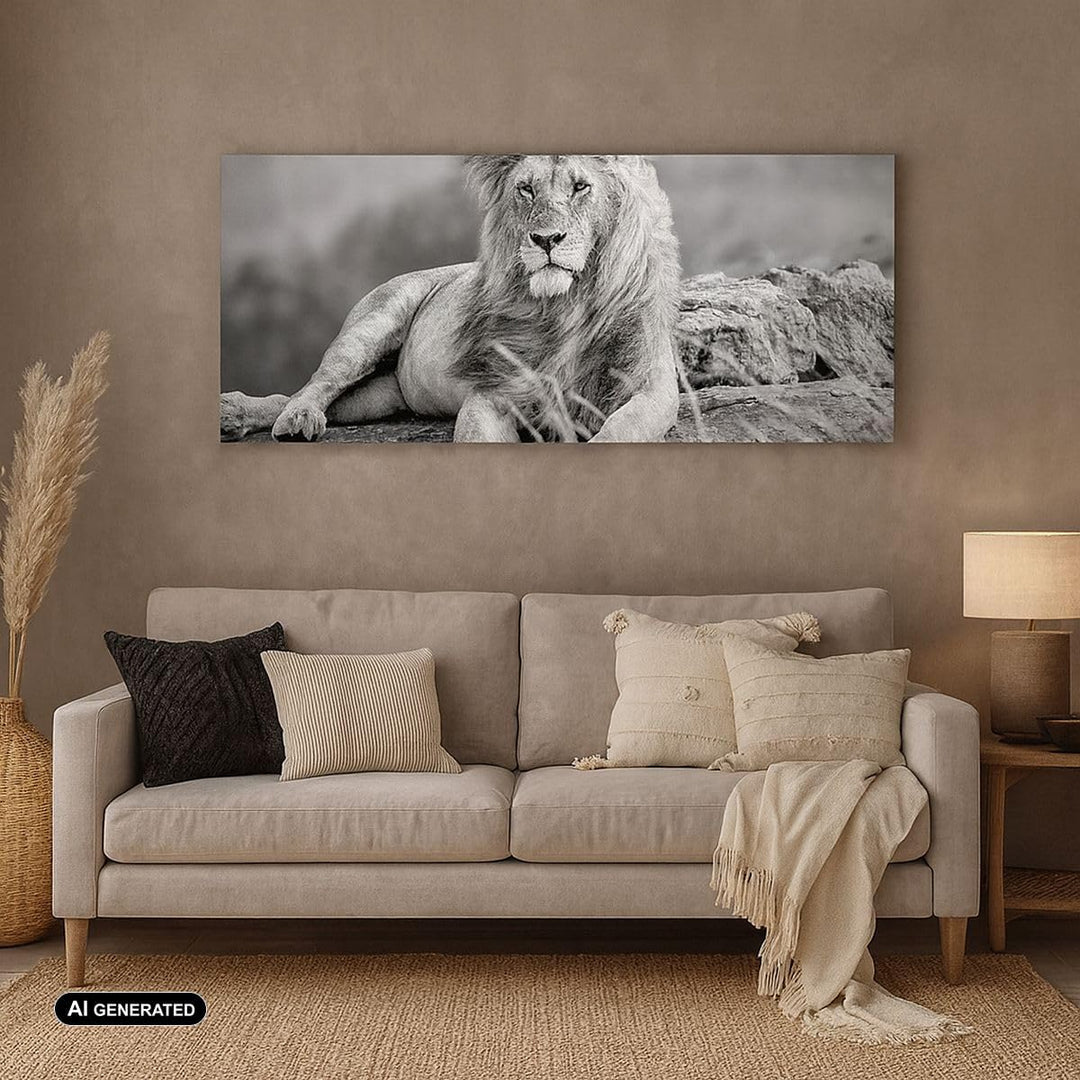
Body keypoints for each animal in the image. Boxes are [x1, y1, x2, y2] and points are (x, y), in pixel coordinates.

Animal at [220, 155, 682, 443]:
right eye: (526, 190)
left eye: (580, 186)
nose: (546, 239)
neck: (568, 306)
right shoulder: (492, 392)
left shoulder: (652, 388)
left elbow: (621, 431)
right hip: (369, 328)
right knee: (315, 386)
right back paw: (288, 419)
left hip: (379, 397)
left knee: (308, 399)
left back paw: (242, 416)